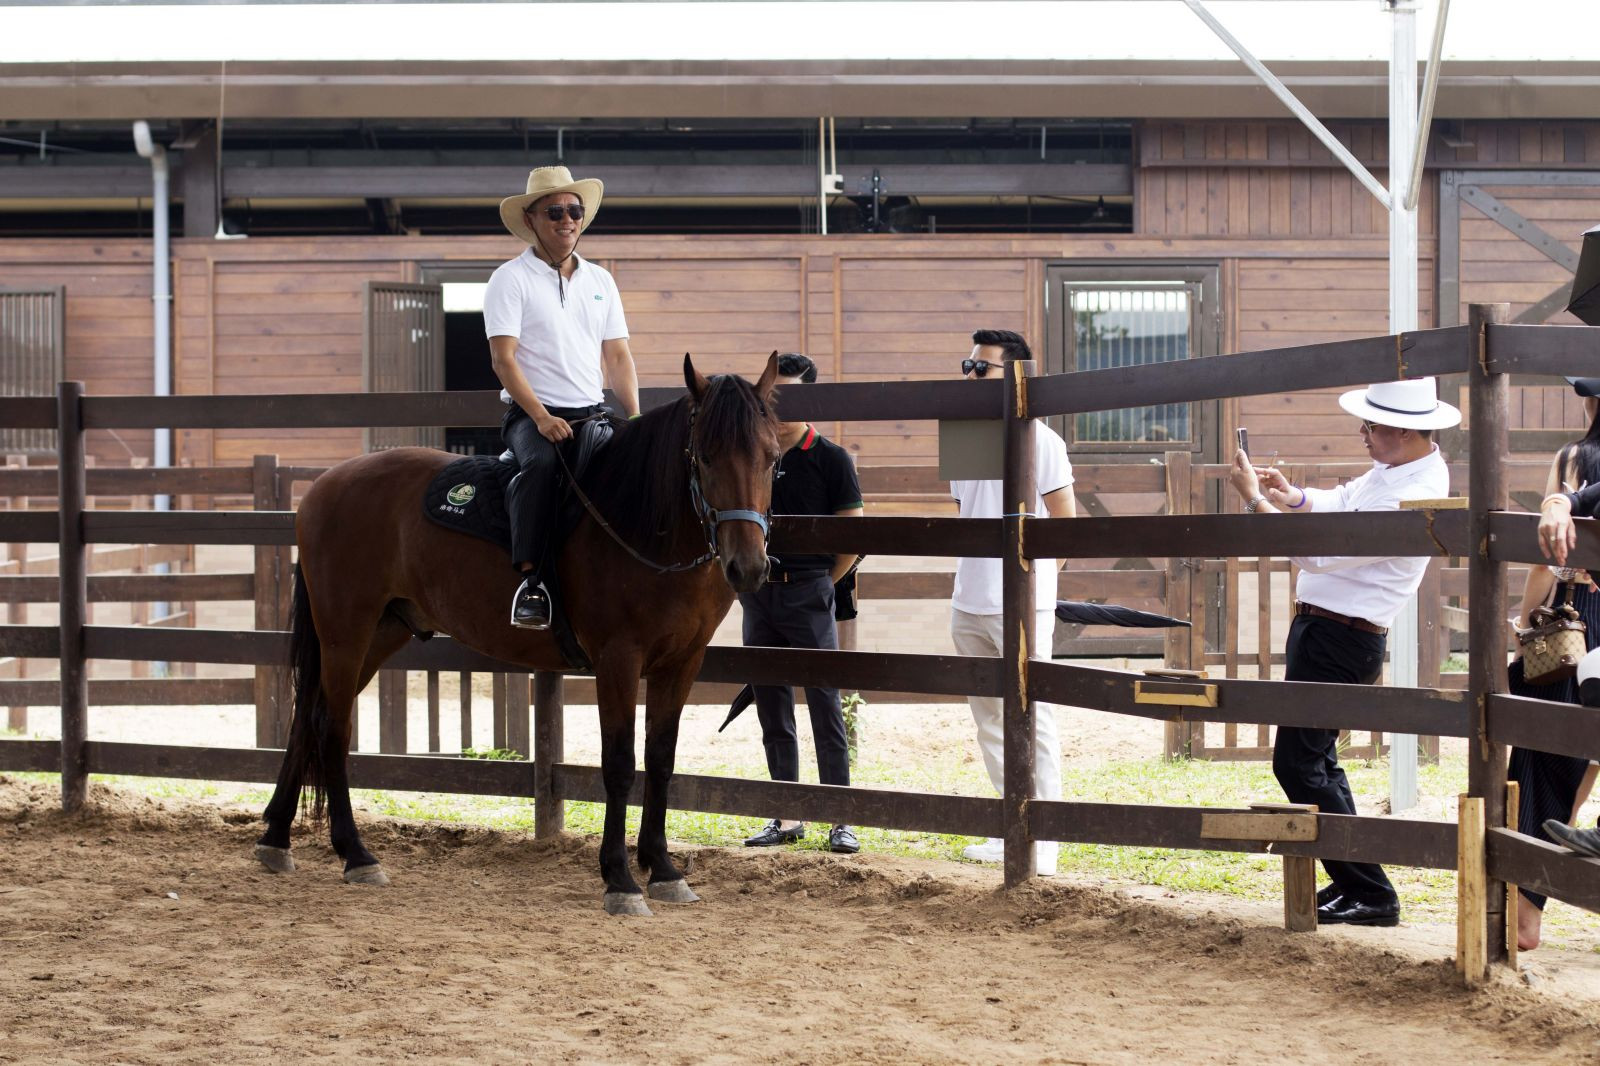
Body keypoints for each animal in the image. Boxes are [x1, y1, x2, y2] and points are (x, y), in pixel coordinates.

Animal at [252, 350, 784, 915]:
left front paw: (663, 869)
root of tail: (325, 487)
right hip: (346, 631)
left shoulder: (682, 662)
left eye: (772, 458)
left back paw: (277, 840)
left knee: (306, 718)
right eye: (704, 457)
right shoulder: (618, 660)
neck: (639, 521)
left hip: (379, 631)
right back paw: (355, 854)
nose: (748, 566)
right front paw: (619, 879)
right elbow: (619, 763)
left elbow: (661, 759)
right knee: (331, 725)